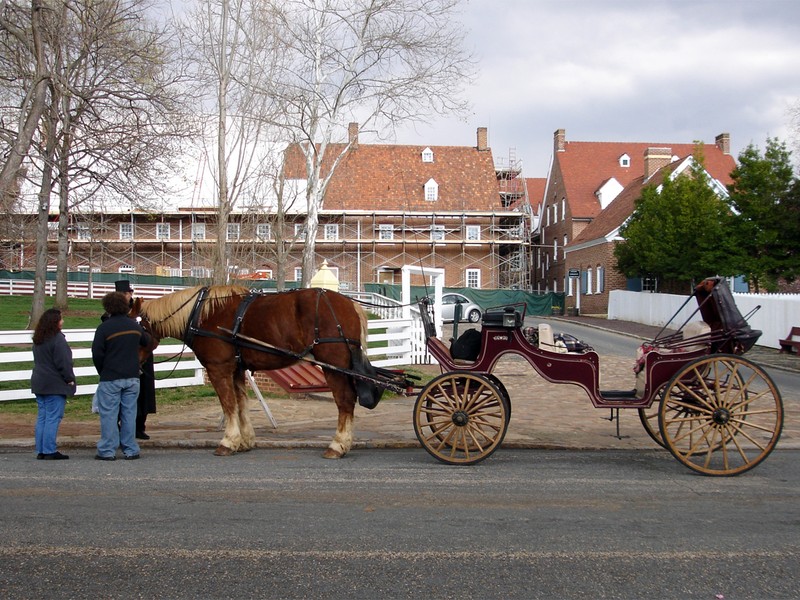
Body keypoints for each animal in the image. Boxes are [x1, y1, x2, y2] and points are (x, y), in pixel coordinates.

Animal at [129, 288, 384, 458]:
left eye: (136, 327)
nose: (135, 365)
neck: (202, 313)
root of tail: (350, 305)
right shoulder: (236, 369)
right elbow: (241, 403)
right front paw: (245, 440)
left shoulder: (218, 368)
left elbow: (228, 404)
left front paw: (228, 441)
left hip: (333, 366)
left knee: (345, 401)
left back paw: (337, 445)